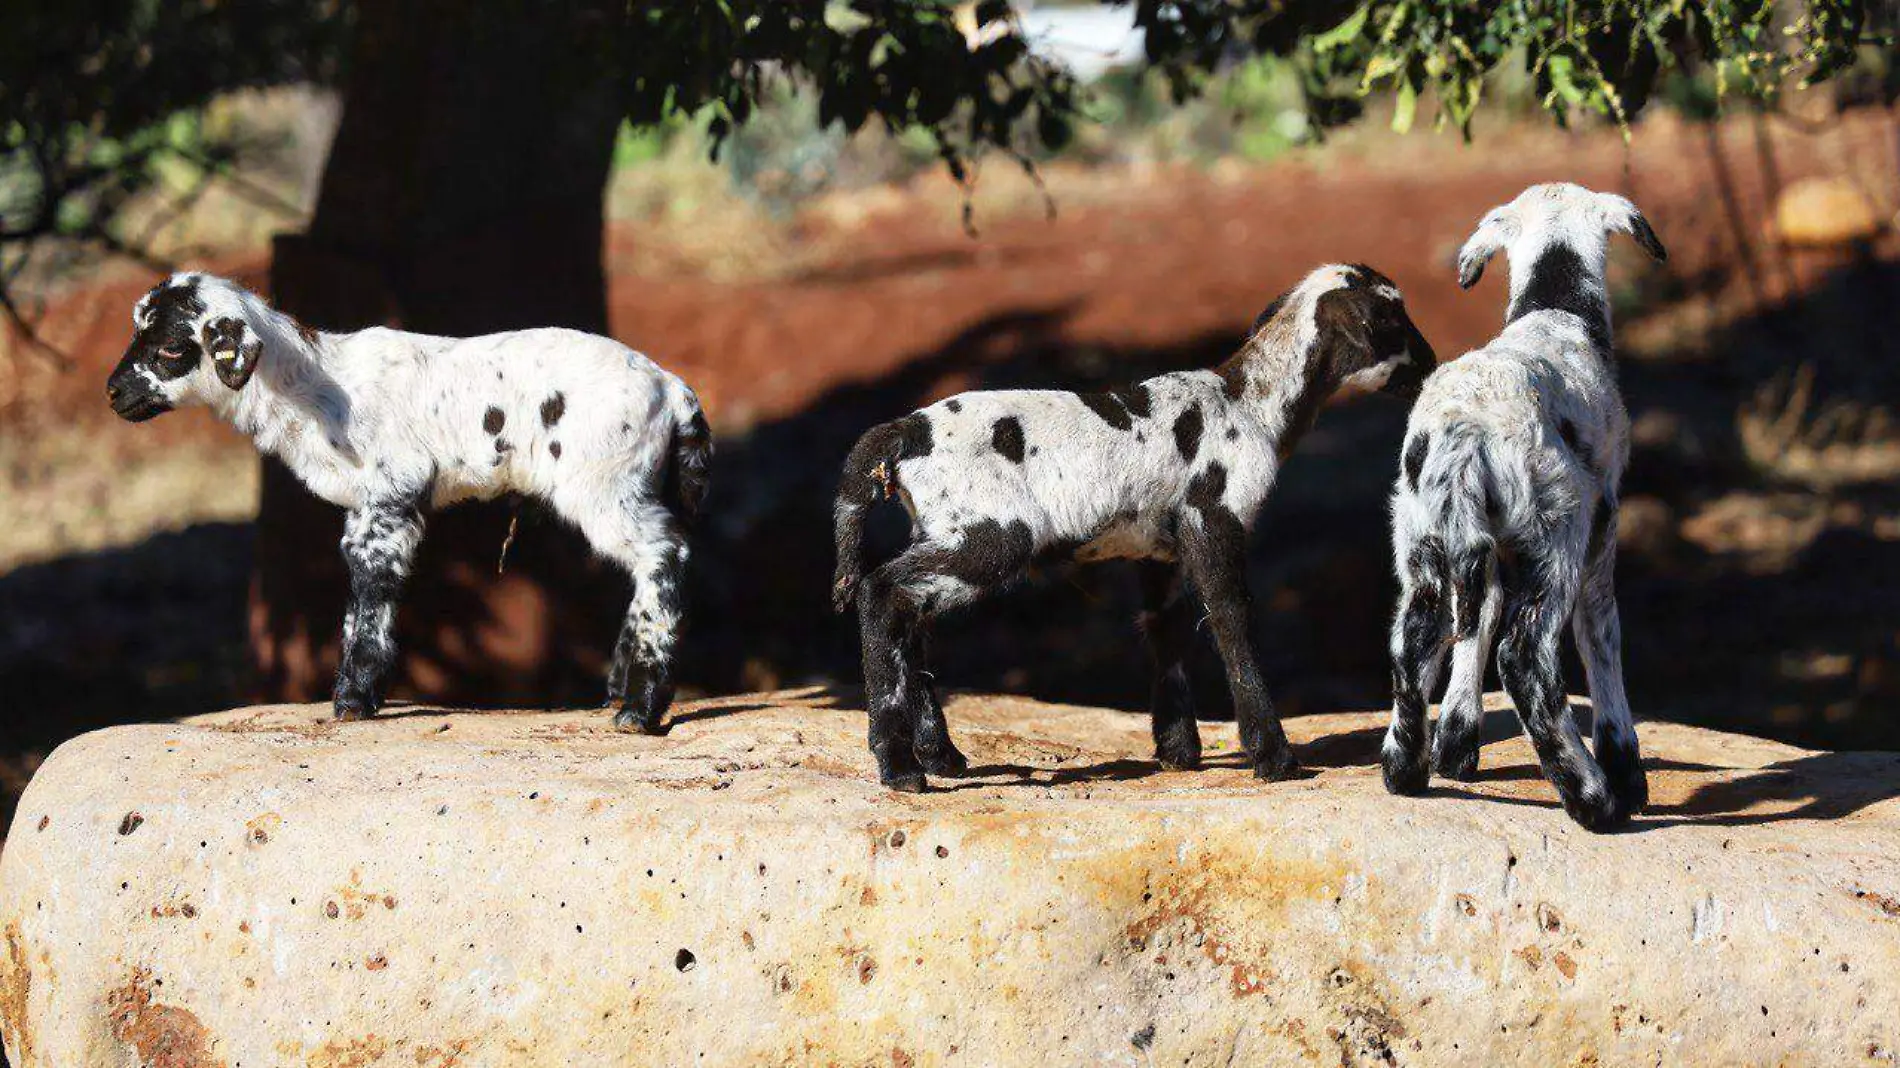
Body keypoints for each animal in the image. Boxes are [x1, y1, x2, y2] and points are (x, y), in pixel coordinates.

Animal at [105, 269, 714, 725]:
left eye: (170, 348)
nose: (112, 392)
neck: (314, 383)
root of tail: (674, 391)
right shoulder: (365, 509)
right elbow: (360, 601)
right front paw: (359, 695)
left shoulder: (392, 492)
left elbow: (372, 593)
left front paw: (353, 703)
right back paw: (617, 694)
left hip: (607, 484)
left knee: (665, 556)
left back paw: (640, 710)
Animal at [839, 262, 1428, 786]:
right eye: (1392, 320)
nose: (1432, 364)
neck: (1252, 405)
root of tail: (903, 433)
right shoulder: (1212, 520)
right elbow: (1232, 622)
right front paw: (1274, 758)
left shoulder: (1158, 549)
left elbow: (1165, 631)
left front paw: (1178, 752)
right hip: (992, 533)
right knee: (879, 592)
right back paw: (900, 769)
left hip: (942, 529)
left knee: (906, 615)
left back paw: (941, 757)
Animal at [1383, 185, 1664, 832]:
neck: (1556, 309)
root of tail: (1465, 433)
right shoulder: (1604, 524)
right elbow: (1602, 635)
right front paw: (1626, 771)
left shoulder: (1484, 547)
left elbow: (1477, 620)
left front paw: (1457, 746)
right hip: (1558, 528)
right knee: (1526, 659)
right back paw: (1592, 799)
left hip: (1421, 534)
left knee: (1415, 640)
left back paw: (1405, 772)